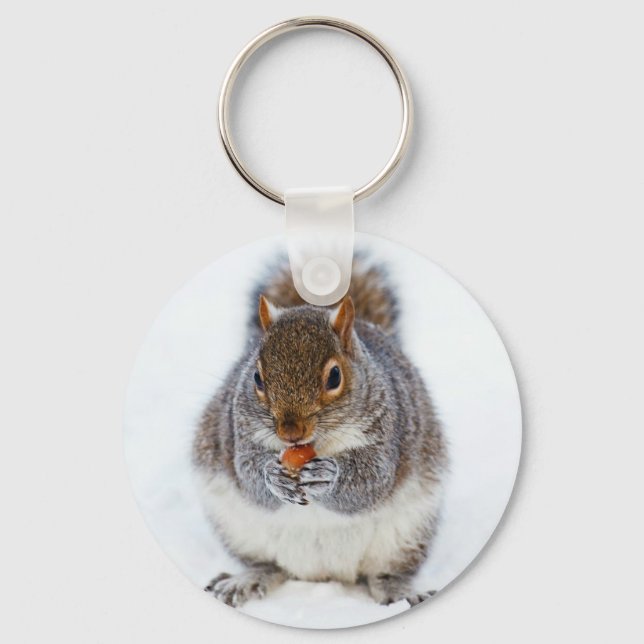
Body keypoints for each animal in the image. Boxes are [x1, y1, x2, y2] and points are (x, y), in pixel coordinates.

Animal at [193, 259, 447, 607]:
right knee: (269, 565)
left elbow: (372, 481)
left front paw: (329, 476)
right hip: (238, 530)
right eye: (256, 377)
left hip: (407, 535)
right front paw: (273, 477)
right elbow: (248, 476)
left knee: (385, 574)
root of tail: (323, 574)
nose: (290, 432)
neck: (315, 445)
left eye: (335, 376)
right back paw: (245, 579)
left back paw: (404, 592)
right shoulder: (238, 431)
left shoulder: (389, 432)